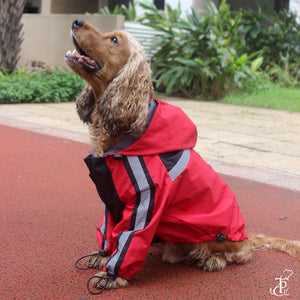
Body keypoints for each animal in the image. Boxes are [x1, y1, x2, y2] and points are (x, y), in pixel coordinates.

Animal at [65, 19, 300, 292]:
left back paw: (213, 260)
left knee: (242, 253)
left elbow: (129, 238)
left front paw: (112, 275)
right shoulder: (111, 198)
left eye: (114, 40)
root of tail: (245, 234)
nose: (76, 21)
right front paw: (103, 255)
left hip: (218, 235)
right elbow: (110, 231)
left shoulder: (146, 200)